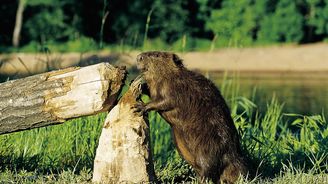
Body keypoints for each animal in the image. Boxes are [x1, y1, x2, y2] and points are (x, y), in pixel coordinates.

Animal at [135, 51, 247, 183]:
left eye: (157, 55)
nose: (138, 57)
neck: (172, 75)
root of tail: (233, 157)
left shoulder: (176, 88)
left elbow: (165, 101)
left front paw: (141, 106)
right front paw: (141, 85)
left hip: (208, 148)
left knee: (208, 169)